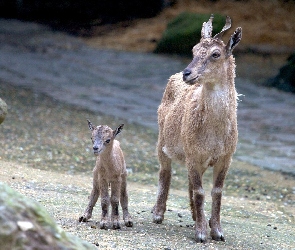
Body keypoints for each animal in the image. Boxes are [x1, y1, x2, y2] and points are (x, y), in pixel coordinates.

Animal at [153, 15, 243, 242]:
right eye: (193, 50)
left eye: (215, 54)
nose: (188, 73)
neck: (214, 135)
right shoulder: (193, 154)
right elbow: (201, 191)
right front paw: (202, 233)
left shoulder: (224, 157)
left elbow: (216, 191)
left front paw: (217, 230)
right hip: (162, 141)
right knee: (165, 172)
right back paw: (158, 213)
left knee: (189, 183)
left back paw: (195, 215)